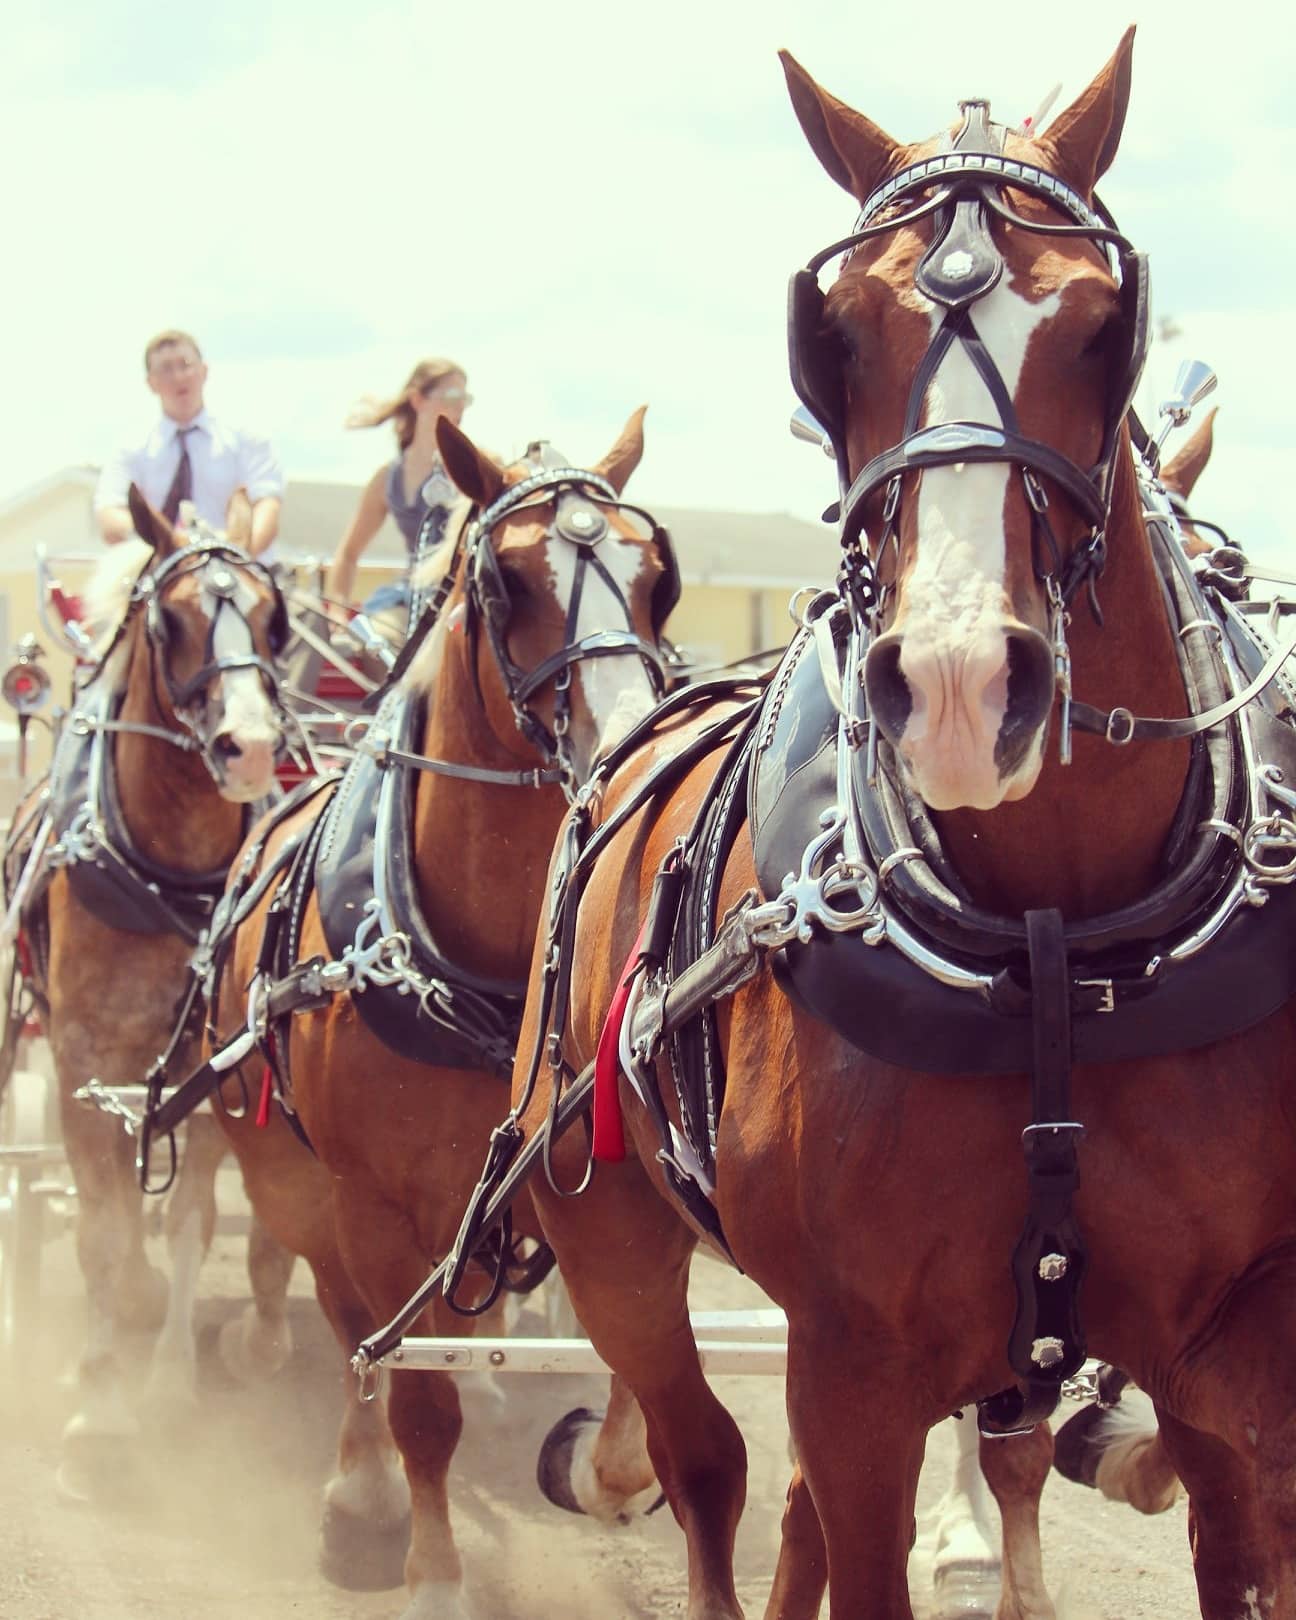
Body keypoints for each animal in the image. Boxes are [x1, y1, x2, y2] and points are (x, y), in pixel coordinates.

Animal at [1, 485, 292, 1496]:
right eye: (170, 620)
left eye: (279, 622)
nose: (253, 749)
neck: (174, 879)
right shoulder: (85, 1059)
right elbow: (101, 1230)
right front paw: (99, 1411)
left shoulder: (207, 1068)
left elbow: (189, 1224)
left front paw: (166, 1385)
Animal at [201, 409, 679, 1615]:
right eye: (507, 582)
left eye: (656, 577)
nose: (630, 735)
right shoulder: (375, 1206)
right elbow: (413, 1393)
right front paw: (427, 1570)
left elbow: (635, 1388)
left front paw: (601, 1473)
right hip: (297, 1176)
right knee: (343, 1323)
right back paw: (358, 1497)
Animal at [487, 32, 1296, 1619]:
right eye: (837, 336)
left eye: (1102, 325)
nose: (963, 688)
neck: (1053, 948)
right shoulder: (855, 1366)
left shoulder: (1234, 1353)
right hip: (604, 1233)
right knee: (704, 1465)